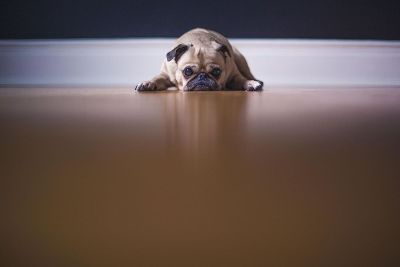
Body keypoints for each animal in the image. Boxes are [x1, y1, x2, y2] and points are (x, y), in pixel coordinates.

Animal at [136, 27, 264, 91]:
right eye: (187, 71)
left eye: (216, 71)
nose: (202, 76)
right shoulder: (165, 75)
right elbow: (156, 78)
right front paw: (147, 83)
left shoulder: (234, 75)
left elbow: (242, 79)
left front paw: (250, 83)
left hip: (240, 59)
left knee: (248, 75)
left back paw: (256, 81)